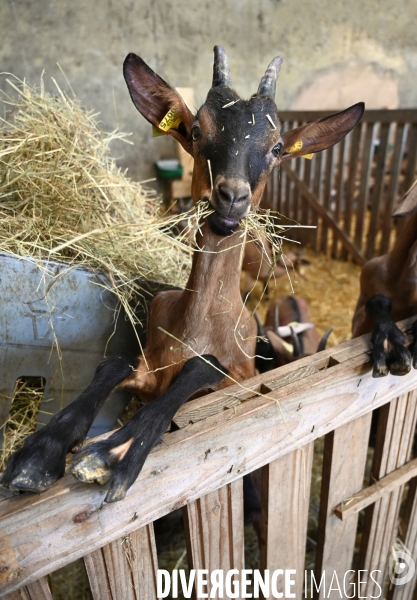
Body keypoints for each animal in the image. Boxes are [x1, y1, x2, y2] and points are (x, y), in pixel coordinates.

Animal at [0, 45, 362, 502]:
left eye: (278, 147)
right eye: (196, 131)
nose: (231, 198)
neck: (198, 326)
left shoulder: (238, 378)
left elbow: (204, 366)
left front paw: (112, 453)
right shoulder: (146, 367)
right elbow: (114, 364)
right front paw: (37, 454)